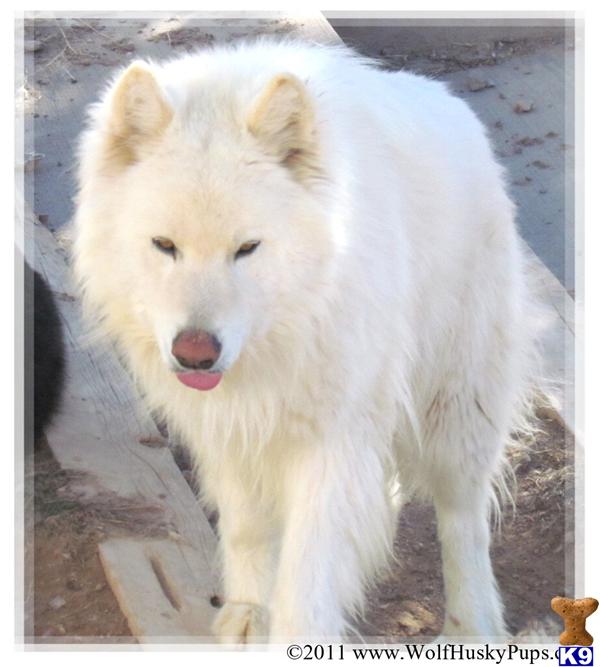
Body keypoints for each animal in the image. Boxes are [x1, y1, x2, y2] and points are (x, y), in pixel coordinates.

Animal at [72, 40, 540, 642]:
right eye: (164, 245)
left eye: (247, 248)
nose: (195, 352)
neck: (284, 334)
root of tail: (452, 106)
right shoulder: (227, 434)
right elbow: (248, 530)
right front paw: (249, 614)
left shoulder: (330, 446)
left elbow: (309, 567)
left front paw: (297, 637)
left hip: (456, 409)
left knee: (463, 520)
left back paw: (471, 627)